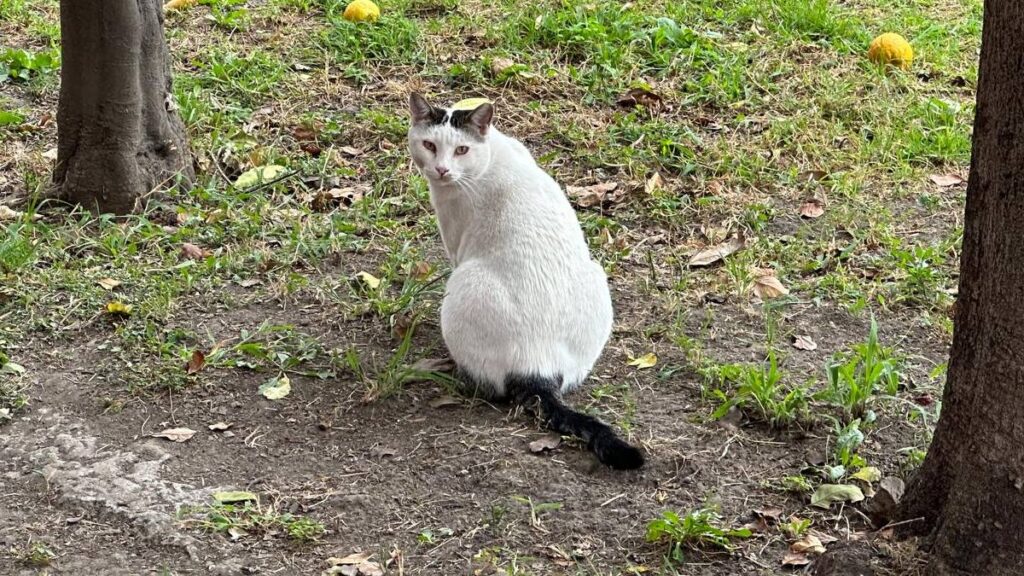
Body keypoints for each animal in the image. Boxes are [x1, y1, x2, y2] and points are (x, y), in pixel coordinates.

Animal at [403, 90, 643, 467]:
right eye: (429, 145)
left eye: (461, 150)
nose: (442, 169)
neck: (488, 156)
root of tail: (538, 367)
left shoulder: (455, 242)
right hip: (597, 274)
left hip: (462, 283)